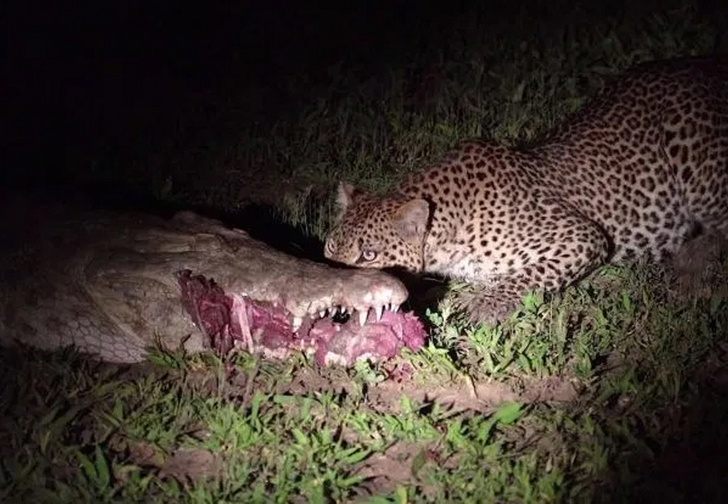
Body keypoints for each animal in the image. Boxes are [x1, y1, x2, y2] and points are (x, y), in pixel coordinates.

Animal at [326, 57, 728, 324]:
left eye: (369, 254)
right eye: (330, 248)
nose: (336, 299)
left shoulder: (582, 236)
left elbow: (527, 276)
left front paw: (483, 306)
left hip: (694, 161)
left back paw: (691, 260)